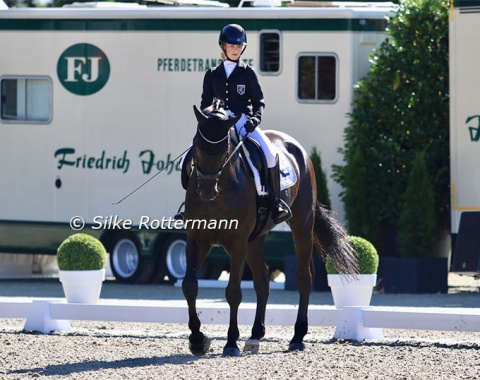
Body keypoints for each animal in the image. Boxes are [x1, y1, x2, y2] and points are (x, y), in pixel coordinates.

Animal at [182, 103, 358, 356]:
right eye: (197, 143)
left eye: (225, 147)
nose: (206, 190)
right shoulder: (197, 239)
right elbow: (189, 286)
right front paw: (198, 340)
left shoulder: (237, 243)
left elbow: (233, 292)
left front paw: (230, 343)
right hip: (255, 239)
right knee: (263, 281)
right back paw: (255, 335)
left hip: (302, 225)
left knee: (305, 277)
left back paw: (297, 337)